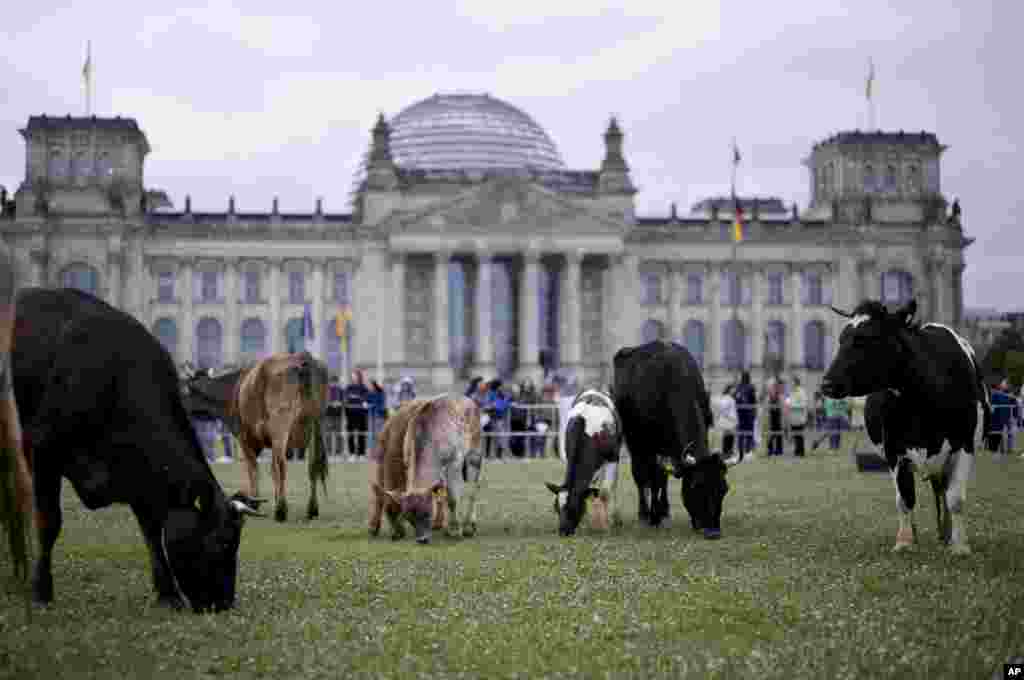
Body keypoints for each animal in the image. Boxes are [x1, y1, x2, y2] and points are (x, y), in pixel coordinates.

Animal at [12, 286, 264, 610]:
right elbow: (49, 522)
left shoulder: (143, 474)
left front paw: (168, 594)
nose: (224, 604)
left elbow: (152, 532)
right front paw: (42, 591)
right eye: (223, 542)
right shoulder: (44, 451)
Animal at [368, 395, 483, 544]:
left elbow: (452, 498)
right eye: (408, 516)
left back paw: (469, 527)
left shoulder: (454, 462)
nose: (421, 539)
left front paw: (455, 530)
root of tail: (470, 401)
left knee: (474, 488)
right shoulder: (406, 461)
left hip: (475, 454)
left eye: (428, 512)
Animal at [544, 387, 622, 536]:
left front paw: (606, 526)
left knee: (611, 487)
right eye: (556, 508)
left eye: (573, 507)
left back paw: (615, 518)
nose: (563, 531)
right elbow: (590, 493)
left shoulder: (613, 457)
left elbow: (604, 492)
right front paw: (586, 524)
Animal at [610, 340, 741, 536]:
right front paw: (653, 517)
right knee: (641, 475)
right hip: (635, 442)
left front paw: (662, 513)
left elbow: (662, 478)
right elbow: (653, 478)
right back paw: (644, 514)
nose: (712, 531)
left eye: (724, 489)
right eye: (696, 485)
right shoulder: (650, 445)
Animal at [819, 301, 987, 557]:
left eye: (866, 338)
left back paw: (946, 534)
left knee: (943, 491)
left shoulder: (964, 444)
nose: (826, 384)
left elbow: (956, 498)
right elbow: (905, 497)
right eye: (841, 339)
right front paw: (905, 541)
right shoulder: (894, 450)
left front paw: (960, 545)